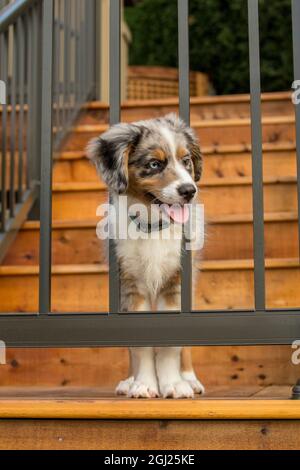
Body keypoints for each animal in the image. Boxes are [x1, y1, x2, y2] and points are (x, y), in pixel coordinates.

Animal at [86, 113, 204, 396]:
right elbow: (139, 344)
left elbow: (173, 343)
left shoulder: (176, 280)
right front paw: (143, 384)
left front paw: (174, 384)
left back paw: (189, 378)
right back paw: (129, 380)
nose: (189, 190)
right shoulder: (130, 283)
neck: (153, 226)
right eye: (154, 164)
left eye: (186, 161)